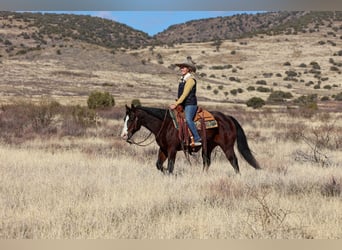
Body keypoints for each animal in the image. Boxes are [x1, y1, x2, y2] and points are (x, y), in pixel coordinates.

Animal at [120, 105, 260, 174]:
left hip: (227, 146)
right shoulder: (163, 149)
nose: (123, 135)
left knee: (234, 161)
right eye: (124, 118)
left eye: (131, 118)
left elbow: (170, 167)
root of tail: (228, 117)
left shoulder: (172, 149)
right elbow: (159, 165)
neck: (165, 124)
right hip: (208, 147)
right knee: (207, 162)